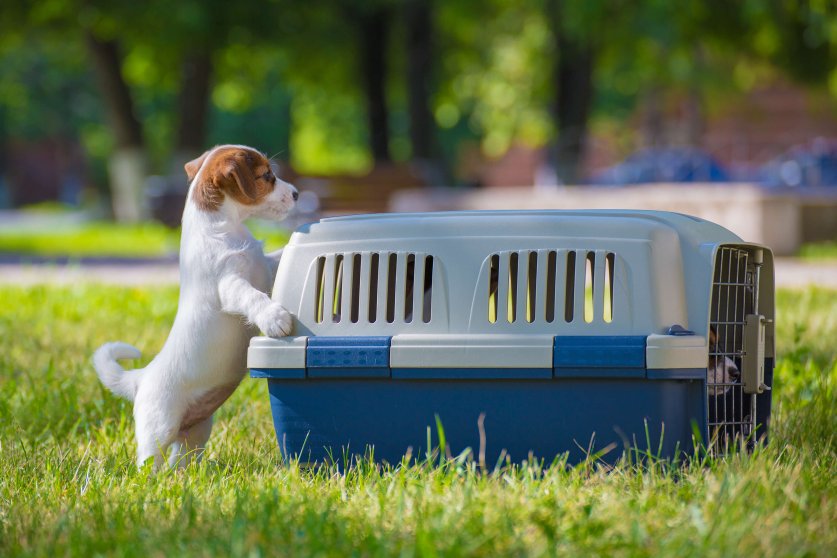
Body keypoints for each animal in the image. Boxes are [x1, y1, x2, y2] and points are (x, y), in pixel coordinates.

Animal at [94, 145, 298, 472]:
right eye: (267, 175)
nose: (296, 194)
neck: (222, 228)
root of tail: (139, 378)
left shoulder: (264, 266)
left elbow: (276, 257)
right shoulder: (229, 285)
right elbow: (253, 297)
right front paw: (274, 317)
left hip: (196, 431)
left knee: (179, 461)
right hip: (158, 429)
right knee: (149, 463)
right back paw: (148, 480)